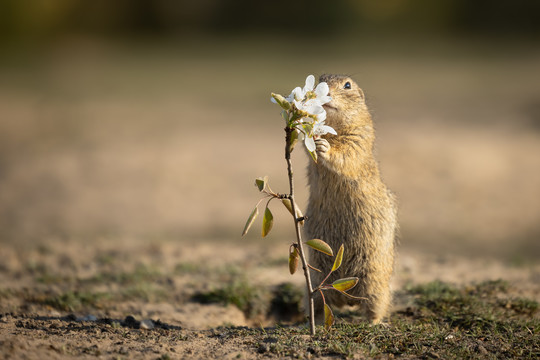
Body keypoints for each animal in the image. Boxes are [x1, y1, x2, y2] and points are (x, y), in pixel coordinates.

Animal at [306, 73, 398, 324]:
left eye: (347, 85)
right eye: (319, 79)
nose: (324, 93)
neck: (334, 127)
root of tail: (345, 297)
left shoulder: (360, 136)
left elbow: (348, 153)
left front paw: (324, 146)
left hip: (375, 280)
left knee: (375, 305)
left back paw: (375, 323)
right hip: (316, 282)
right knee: (321, 303)